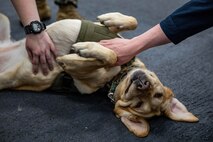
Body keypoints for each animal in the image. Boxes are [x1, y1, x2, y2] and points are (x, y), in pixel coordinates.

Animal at [0, 12, 198, 137]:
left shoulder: (79, 75)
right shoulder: (121, 40)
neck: (118, 76)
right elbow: (132, 21)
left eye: (140, 104)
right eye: (158, 93)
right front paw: (109, 19)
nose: (143, 84)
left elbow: (110, 58)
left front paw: (81, 52)